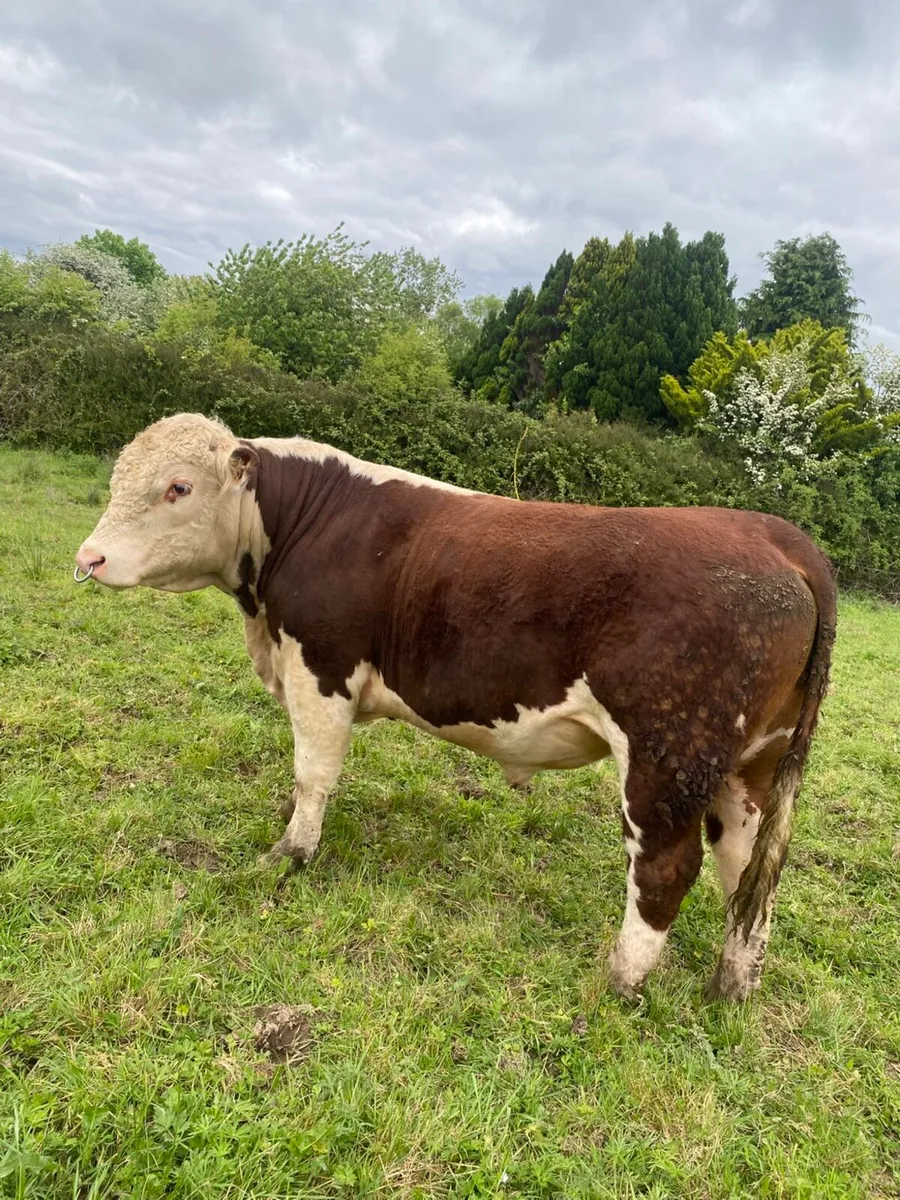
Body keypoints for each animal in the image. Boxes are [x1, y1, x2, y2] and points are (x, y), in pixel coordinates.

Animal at [75, 413, 836, 1002]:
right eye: (118, 478)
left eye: (178, 487)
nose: (89, 558)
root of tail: (777, 536)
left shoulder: (322, 668)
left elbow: (313, 772)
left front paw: (290, 853)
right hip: (752, 761)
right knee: (747, 869)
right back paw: (732, 986)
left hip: (669, 755)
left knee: (667, 868)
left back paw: (619, 980)